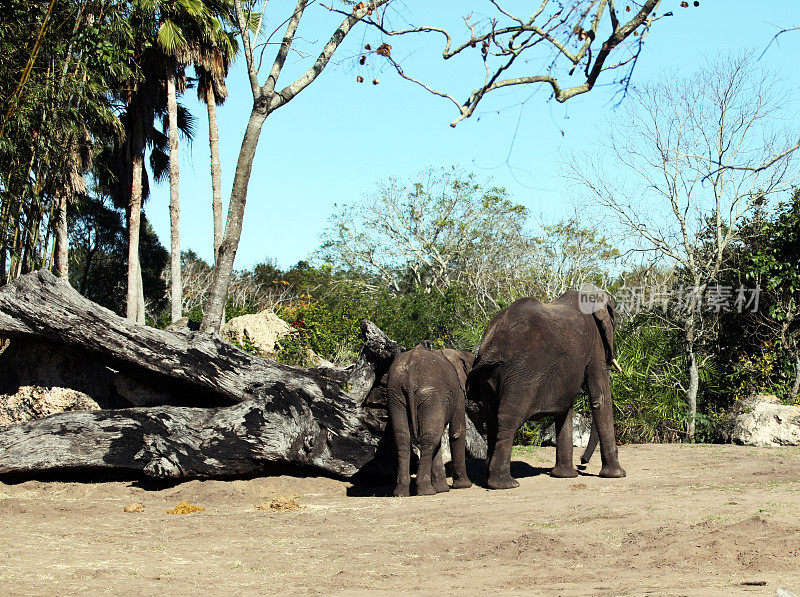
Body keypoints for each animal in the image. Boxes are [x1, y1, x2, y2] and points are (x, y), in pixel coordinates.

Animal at [388, 344, 476, 494]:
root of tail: (410, 374)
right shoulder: (458, 393)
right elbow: (457, 432)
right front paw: (464, 486)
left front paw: (442, 489)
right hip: (430, 394)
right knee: (429, 439)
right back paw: (426, 491)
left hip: (396, 394)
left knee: (403, 438)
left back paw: (401, 493)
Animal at [468, 288, 624, 488]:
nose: (582, 462)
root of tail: (491, 346)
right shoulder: (595, 342)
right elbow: (600, 398)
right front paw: (617, 475)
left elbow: (565, 408)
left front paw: (565, 476)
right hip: (520, 373)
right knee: (508, 419)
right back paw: (504, 484)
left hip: (487, 377)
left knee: (491, 418)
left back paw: (487, 481)